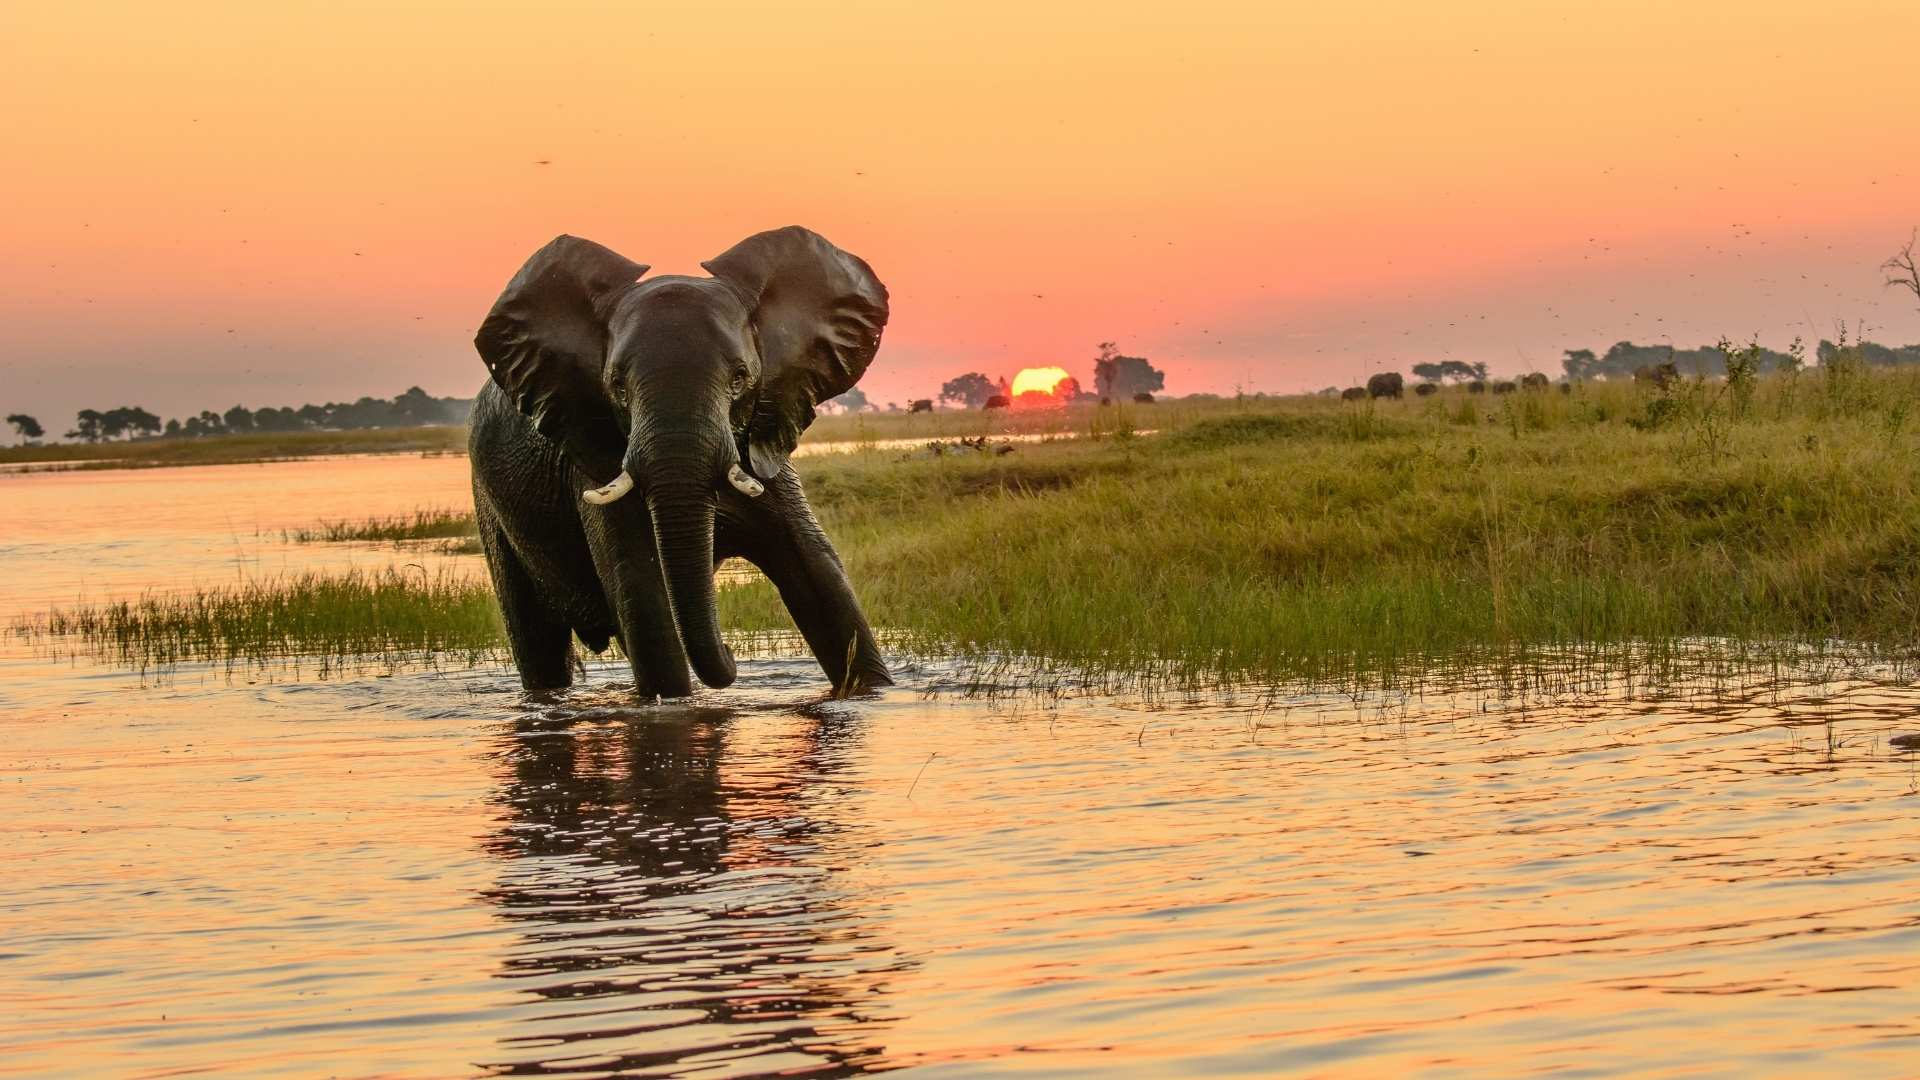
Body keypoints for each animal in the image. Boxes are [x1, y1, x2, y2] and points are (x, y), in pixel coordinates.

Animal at [468, 226, 892, 697]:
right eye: (617, 386)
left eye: (740, 377)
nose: (732, 654)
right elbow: (643, 598)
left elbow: (820, 576)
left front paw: (872, 693)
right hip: (491, 508)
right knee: (537, 642)